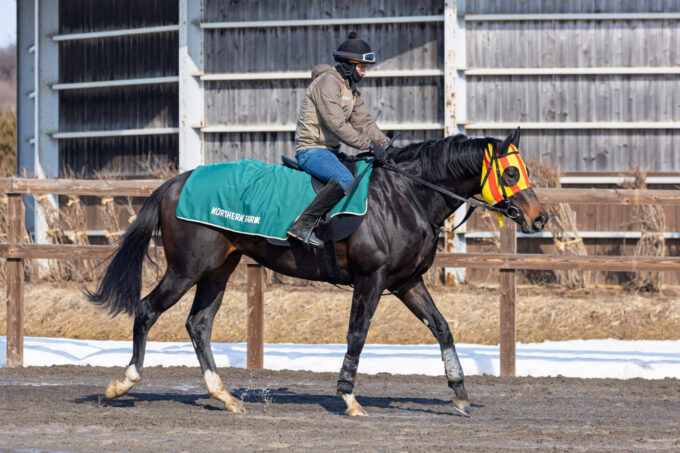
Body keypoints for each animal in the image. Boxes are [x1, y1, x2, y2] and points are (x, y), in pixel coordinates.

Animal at [87, 127, 548, 416]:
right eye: (511, 172)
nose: (540, 218)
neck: (404, 196)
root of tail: (177, 182)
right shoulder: (371, 280)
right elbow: (357, 335)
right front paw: (348, 397)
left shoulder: (406, 282)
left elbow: (443, 329)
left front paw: (460, 395)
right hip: (187, 268)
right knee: (147, 310)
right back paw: (123, 383)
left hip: (218, 269)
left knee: (198, 324)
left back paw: (225, 396)